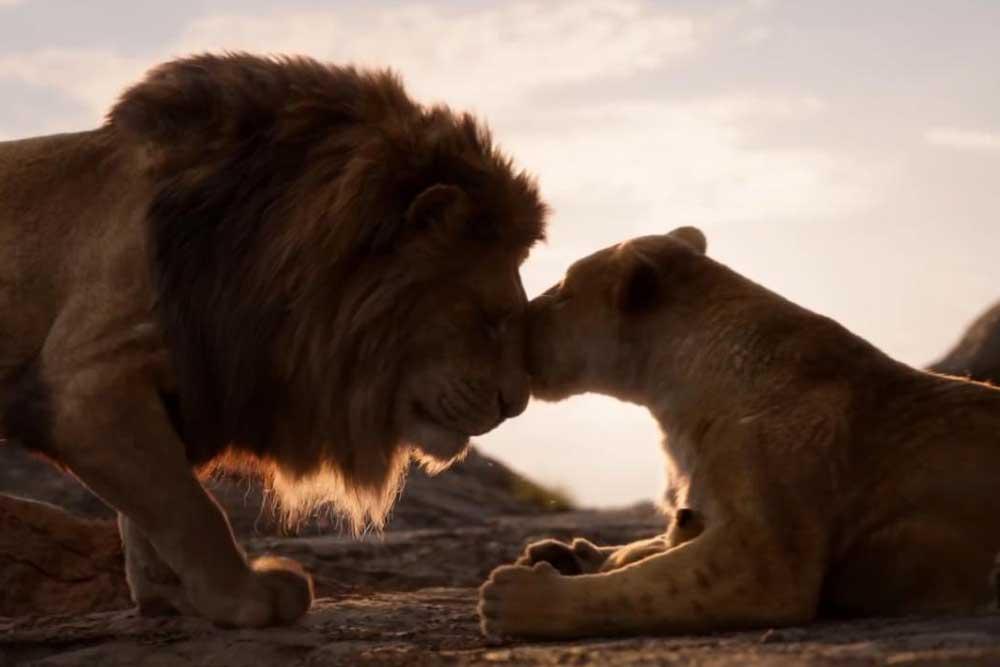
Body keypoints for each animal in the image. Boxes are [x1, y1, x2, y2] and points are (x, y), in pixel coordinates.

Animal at [0, 53, 547, 627]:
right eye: (491, 318)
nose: (517, 403)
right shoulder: (84, 386)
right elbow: (190, 508)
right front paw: (243, 597)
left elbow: (150, 514)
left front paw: (170, 594)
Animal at [479, 227, 1000, 639]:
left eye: (564, 291)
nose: (515, 320)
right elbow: (649, 551)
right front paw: (563, 552)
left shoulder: (767, 559)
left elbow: (642, 587)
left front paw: (514, 595)